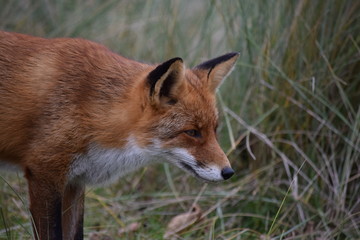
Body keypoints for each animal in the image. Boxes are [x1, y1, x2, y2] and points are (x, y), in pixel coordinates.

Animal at [0, 31, 239, 239]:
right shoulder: (45, 174)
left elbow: (75, 233)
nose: (228, 172)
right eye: (192, 132)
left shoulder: (74, 182)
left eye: (214, 130)